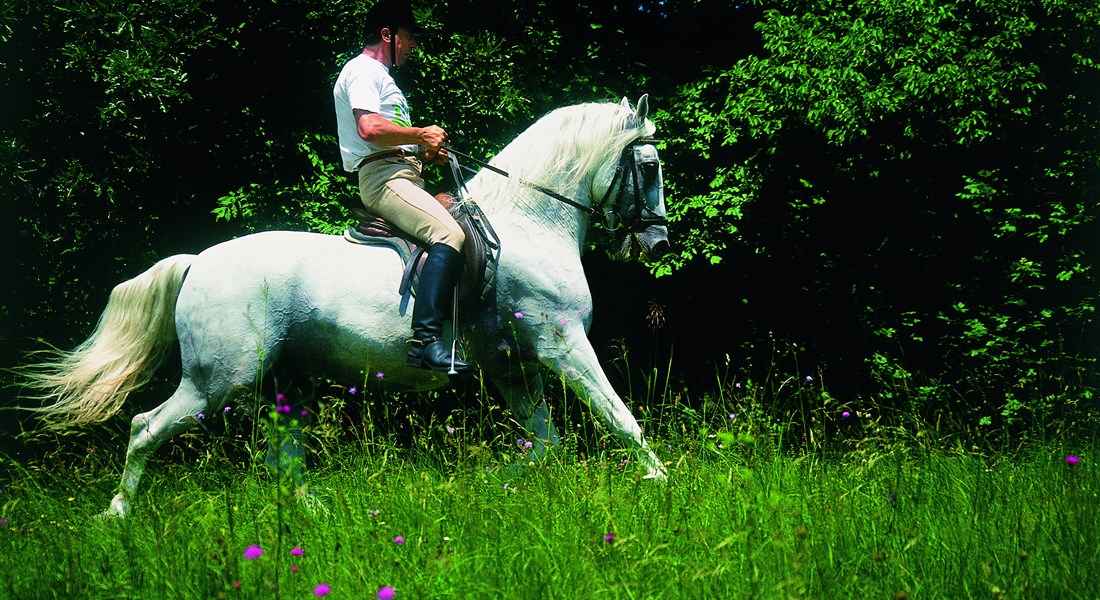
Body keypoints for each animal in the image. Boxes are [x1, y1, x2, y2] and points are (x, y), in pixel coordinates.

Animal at [19, 93, 668, 515]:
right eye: (651, 165)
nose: (657, 242)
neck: (530, 221)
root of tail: (198, 262)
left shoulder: (516, 367)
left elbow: (543, 448)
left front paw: (487, 483)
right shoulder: (563, 346)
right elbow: (621, 418)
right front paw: (664, 482)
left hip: (283, 385)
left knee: (284, 463)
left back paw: (315, 520)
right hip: (217, 381)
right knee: (144, 427)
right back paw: (118, 515)